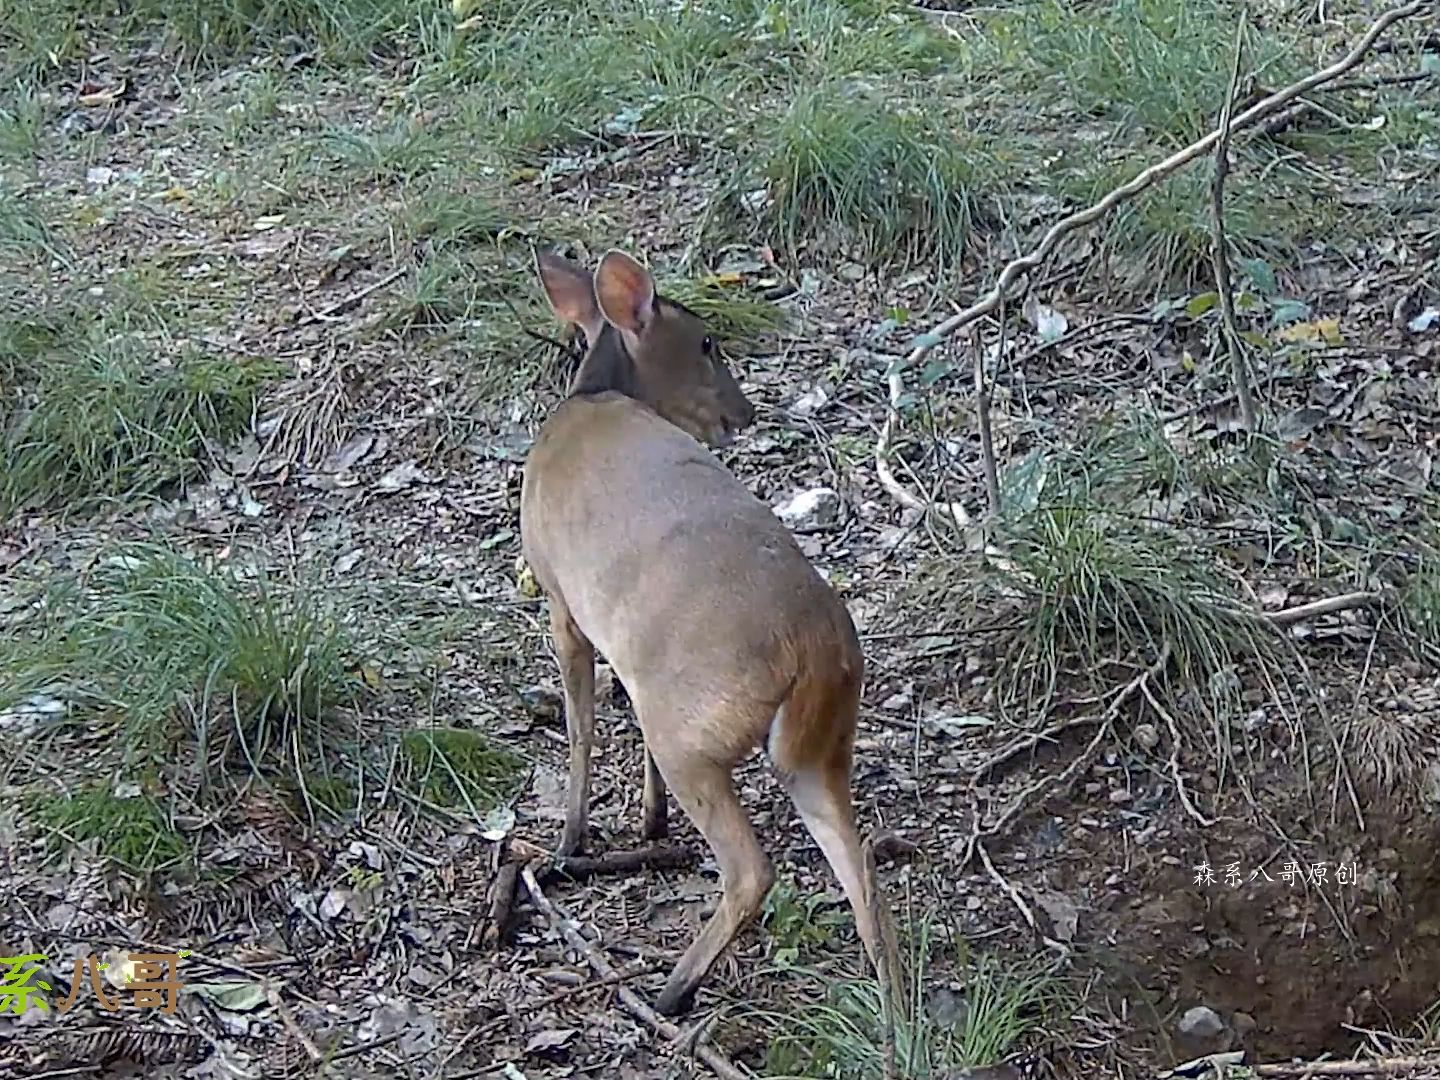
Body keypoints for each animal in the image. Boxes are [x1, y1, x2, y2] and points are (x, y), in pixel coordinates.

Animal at [518, 247, 898, 1025]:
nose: (743, 412)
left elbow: (581, 727)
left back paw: (671, 990)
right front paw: (649, 818)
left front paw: (570, 839)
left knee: (752, 869)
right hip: (817, 744)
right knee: (862, 869)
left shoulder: (562, 601)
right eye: (706, 343)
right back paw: (895, 1015)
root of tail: (815, 651)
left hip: (696, 732)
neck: (593, 396)